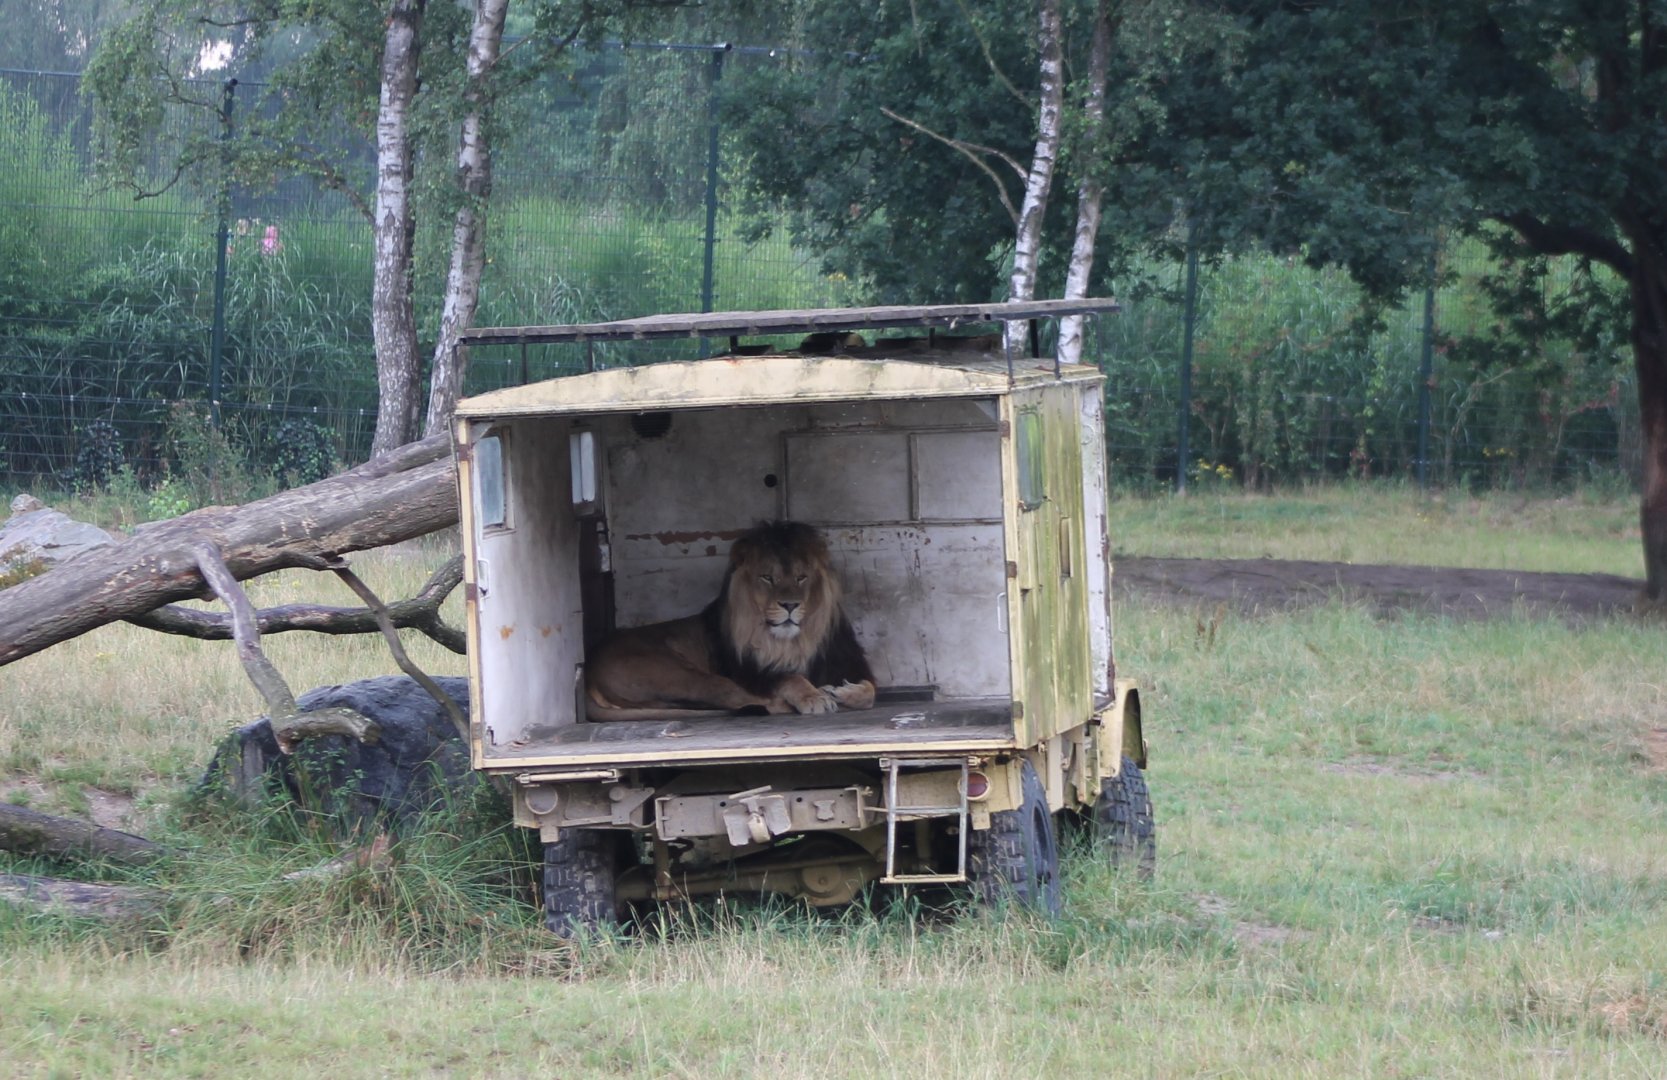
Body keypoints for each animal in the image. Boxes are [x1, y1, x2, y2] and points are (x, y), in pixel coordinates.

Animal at [586, 521, 877, 717]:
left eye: (801, 577)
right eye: (767, 577)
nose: (790, 605)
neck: (792, 643)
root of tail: (591, 667)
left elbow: (870, 691)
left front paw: (843, 692)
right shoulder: (753, 673)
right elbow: (789, 678)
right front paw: (815, 697)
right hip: (685, 675)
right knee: (748, 701)